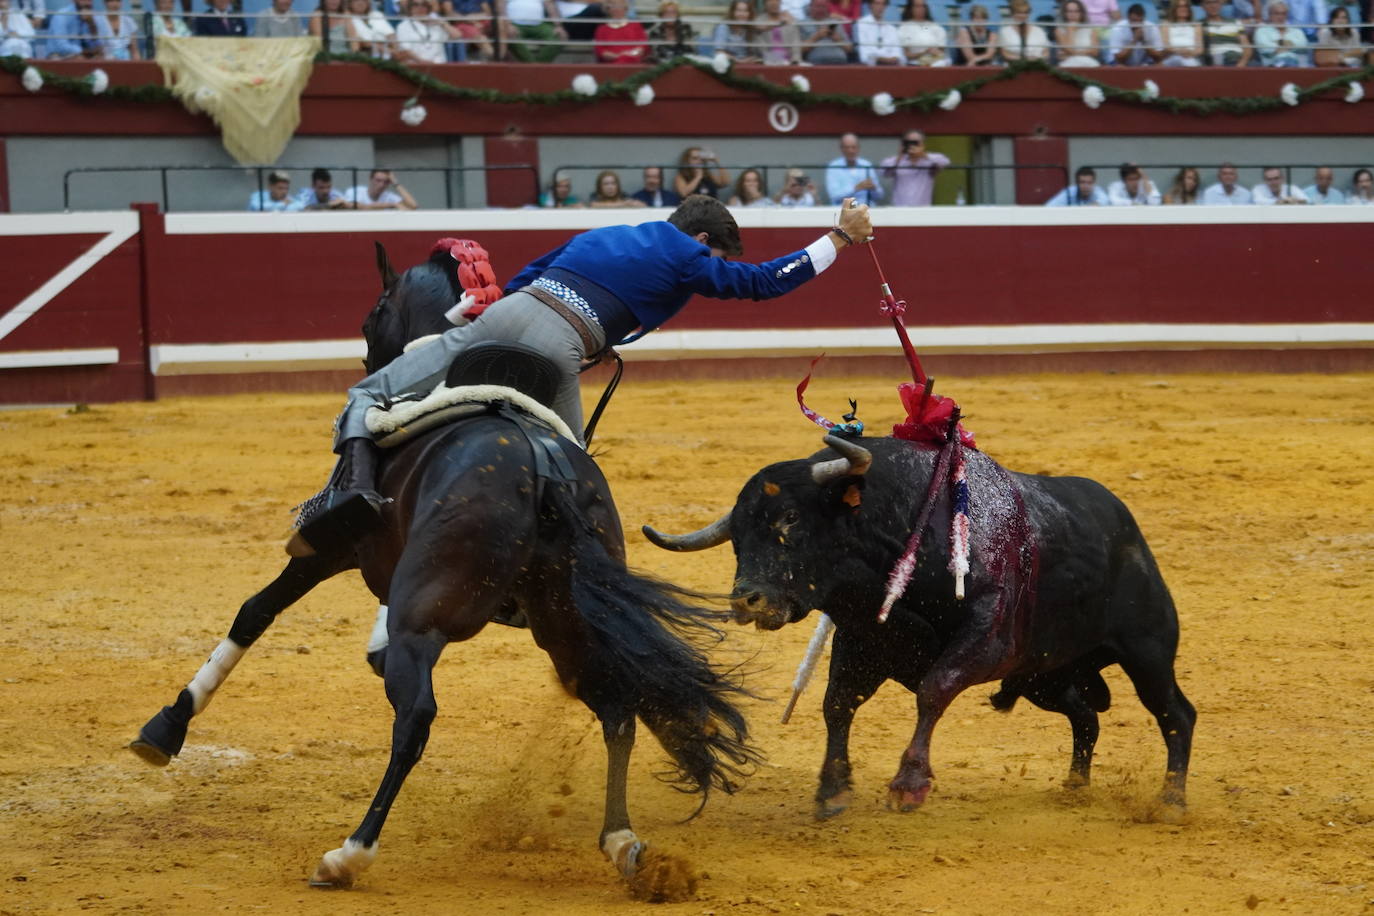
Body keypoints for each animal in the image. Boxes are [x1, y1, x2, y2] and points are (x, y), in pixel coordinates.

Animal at [132, 243, 758, 900]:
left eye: (371, 317)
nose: (371, 359)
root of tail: (543, 468)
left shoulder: (330, 550)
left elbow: (255, 611)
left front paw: (165, 727)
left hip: (426, 622)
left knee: (415, 720)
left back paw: (348, 854)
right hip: (568, 626)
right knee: (616, 705)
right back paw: (625, 846)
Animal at [643, 433, 1192, 818]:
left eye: (791, 519)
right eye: (736, 536)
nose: (747, 599)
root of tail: (1127, 528)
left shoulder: (988, 635)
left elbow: (933, 689)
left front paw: (908, 786)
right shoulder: (862, 641)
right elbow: (837, 704)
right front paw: (832, 789)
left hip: (1146, 654)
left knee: (1175, 713)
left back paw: (1170, 801)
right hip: (1044, 676)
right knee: (1086, 715)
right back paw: (1076, 787)